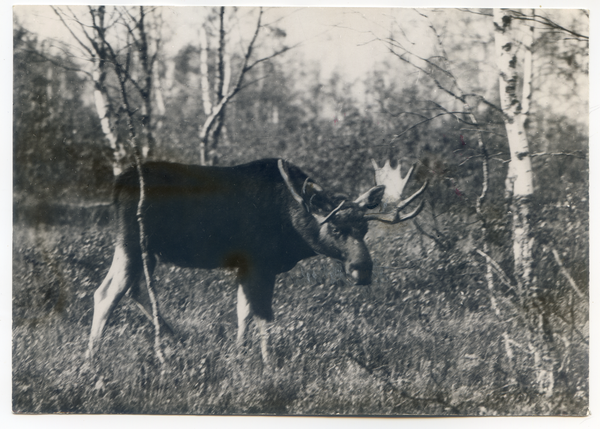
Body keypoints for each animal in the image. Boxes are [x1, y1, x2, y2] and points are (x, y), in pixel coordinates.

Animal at [88, 157, 426, 362]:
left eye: (365, 229)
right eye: (335, 228)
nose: (363, 270)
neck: (293, 226)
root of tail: (116, 185)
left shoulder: (246, 265)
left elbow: (243, 311)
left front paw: (238, 354)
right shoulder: (261, 262)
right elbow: (264, 314)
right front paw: (268, 363)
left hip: (140, 249)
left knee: (125, 289)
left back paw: (173, 337)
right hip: (134, 243)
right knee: (108, 293)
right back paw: (93, 361)